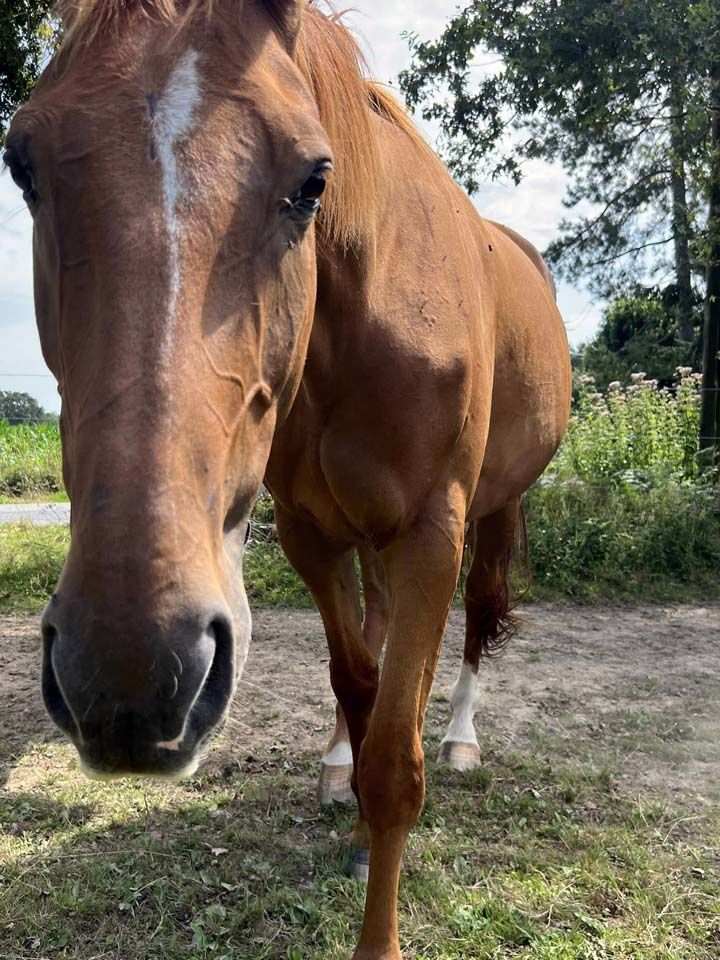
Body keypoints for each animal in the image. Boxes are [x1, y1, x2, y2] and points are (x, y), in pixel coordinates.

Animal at [4, 3, 571, 958]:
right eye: (22, 165)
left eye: (312, 180)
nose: (130, 676)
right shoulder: (310, 534)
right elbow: (359, 685)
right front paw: (353, 807)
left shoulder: (432, 531)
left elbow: (397, 763)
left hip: (496, 510)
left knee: (482, 618)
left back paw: (461, 738)